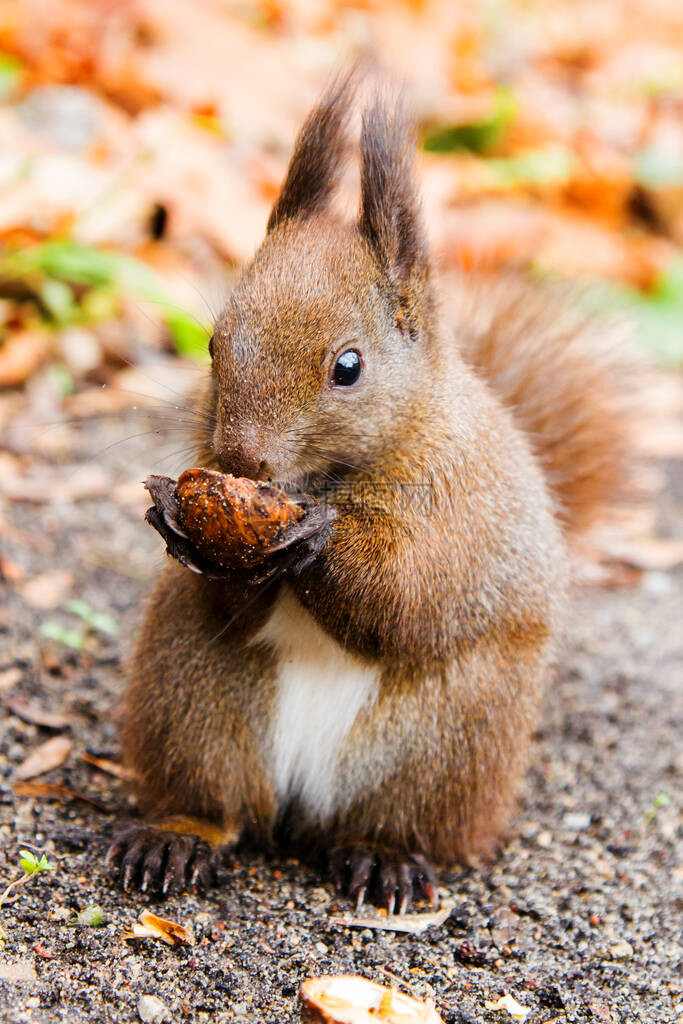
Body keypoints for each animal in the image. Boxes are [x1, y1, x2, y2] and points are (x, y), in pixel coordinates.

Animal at [107, 70, 634, 913]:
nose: (240, 457)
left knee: (395, 820)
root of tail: (298, 802)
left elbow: (409, 596)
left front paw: (313, 540)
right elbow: (224, 594)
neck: (330, 478)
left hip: (444, 744)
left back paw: (382, 858)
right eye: (214, 344)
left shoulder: (459, 508)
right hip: (191, 699)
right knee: (218, 800)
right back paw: (178, 836)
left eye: (347, 368)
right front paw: (175, 522)